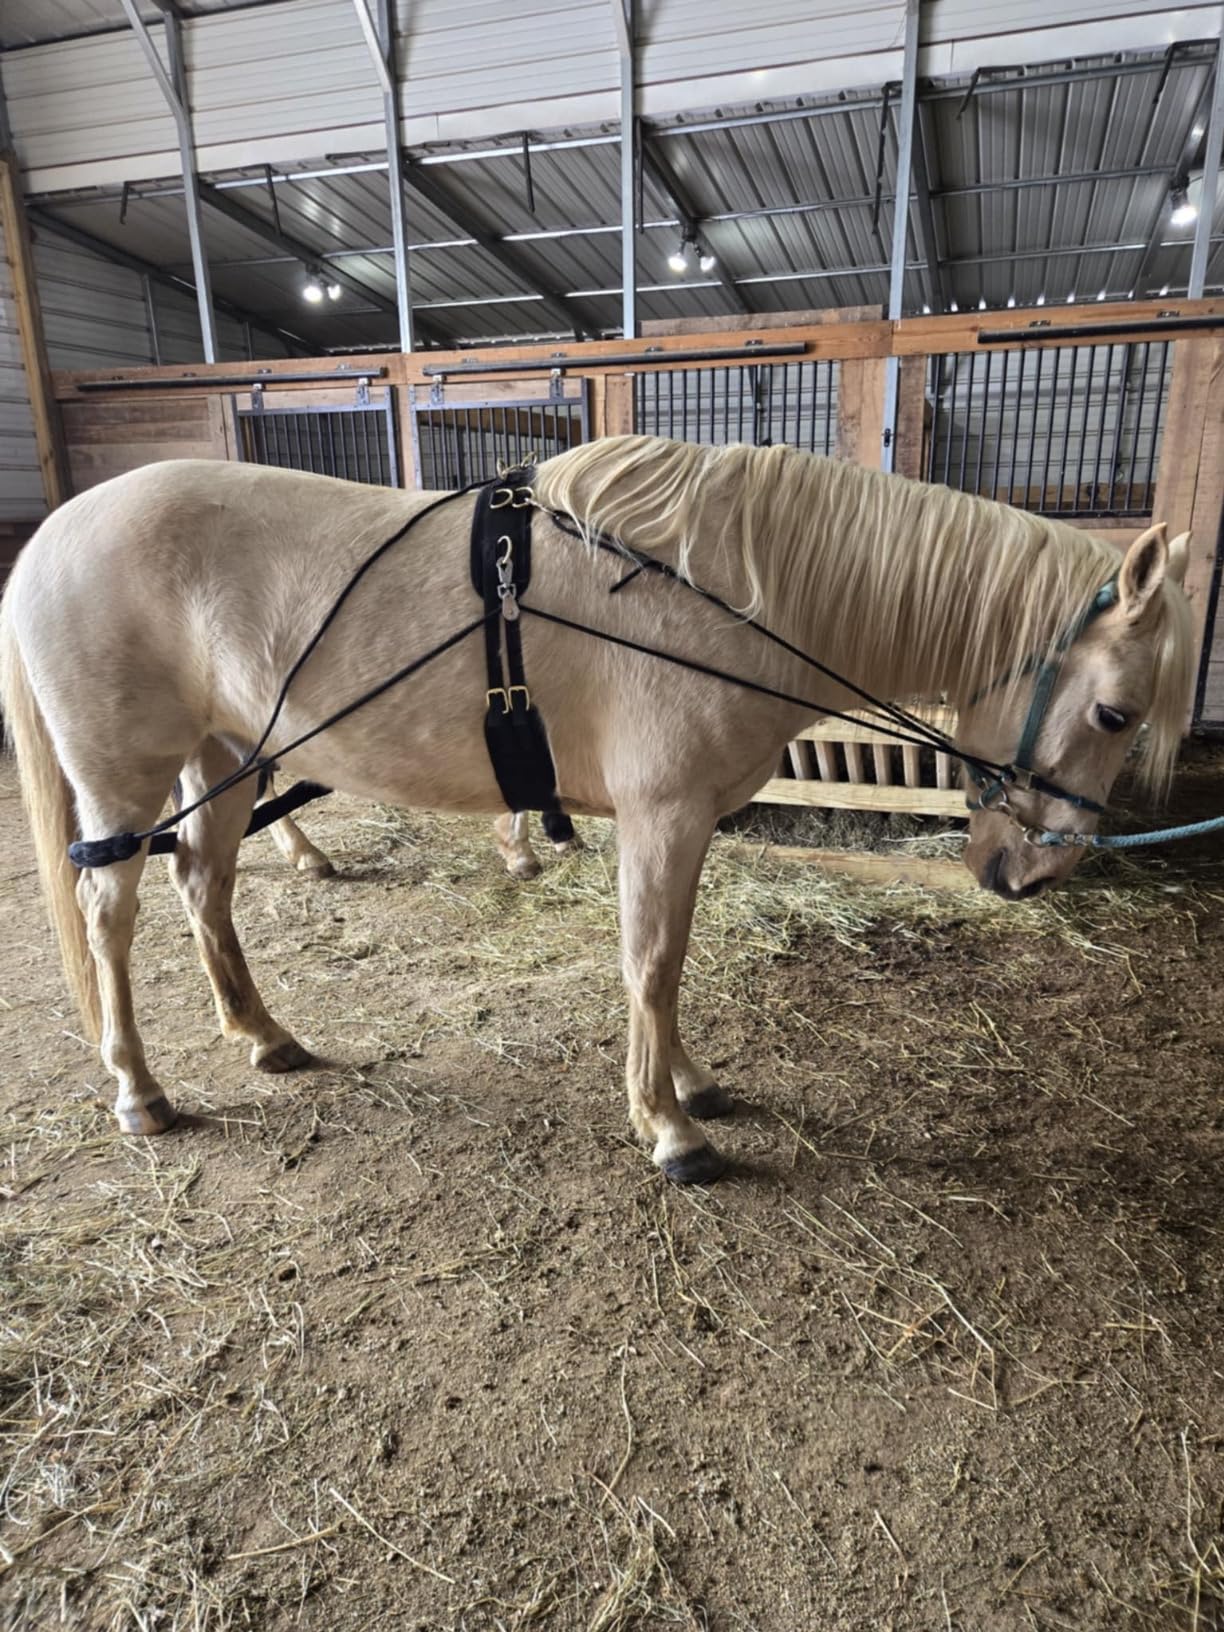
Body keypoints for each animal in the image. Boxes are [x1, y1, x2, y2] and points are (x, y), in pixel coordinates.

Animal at [0, 435, 1195, 1183]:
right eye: (1116, 712)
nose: (1033, 872)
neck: (720, 594)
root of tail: (50, 539)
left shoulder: (682, 822)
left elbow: (672, 963)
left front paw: (691, 1086)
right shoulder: (663, 814)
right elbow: (652, 963)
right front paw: (667, 1127)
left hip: (228, 756)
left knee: (204, 884)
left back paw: (263, 1035)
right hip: (127, 777)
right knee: (112, 915)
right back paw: (139, 1090)